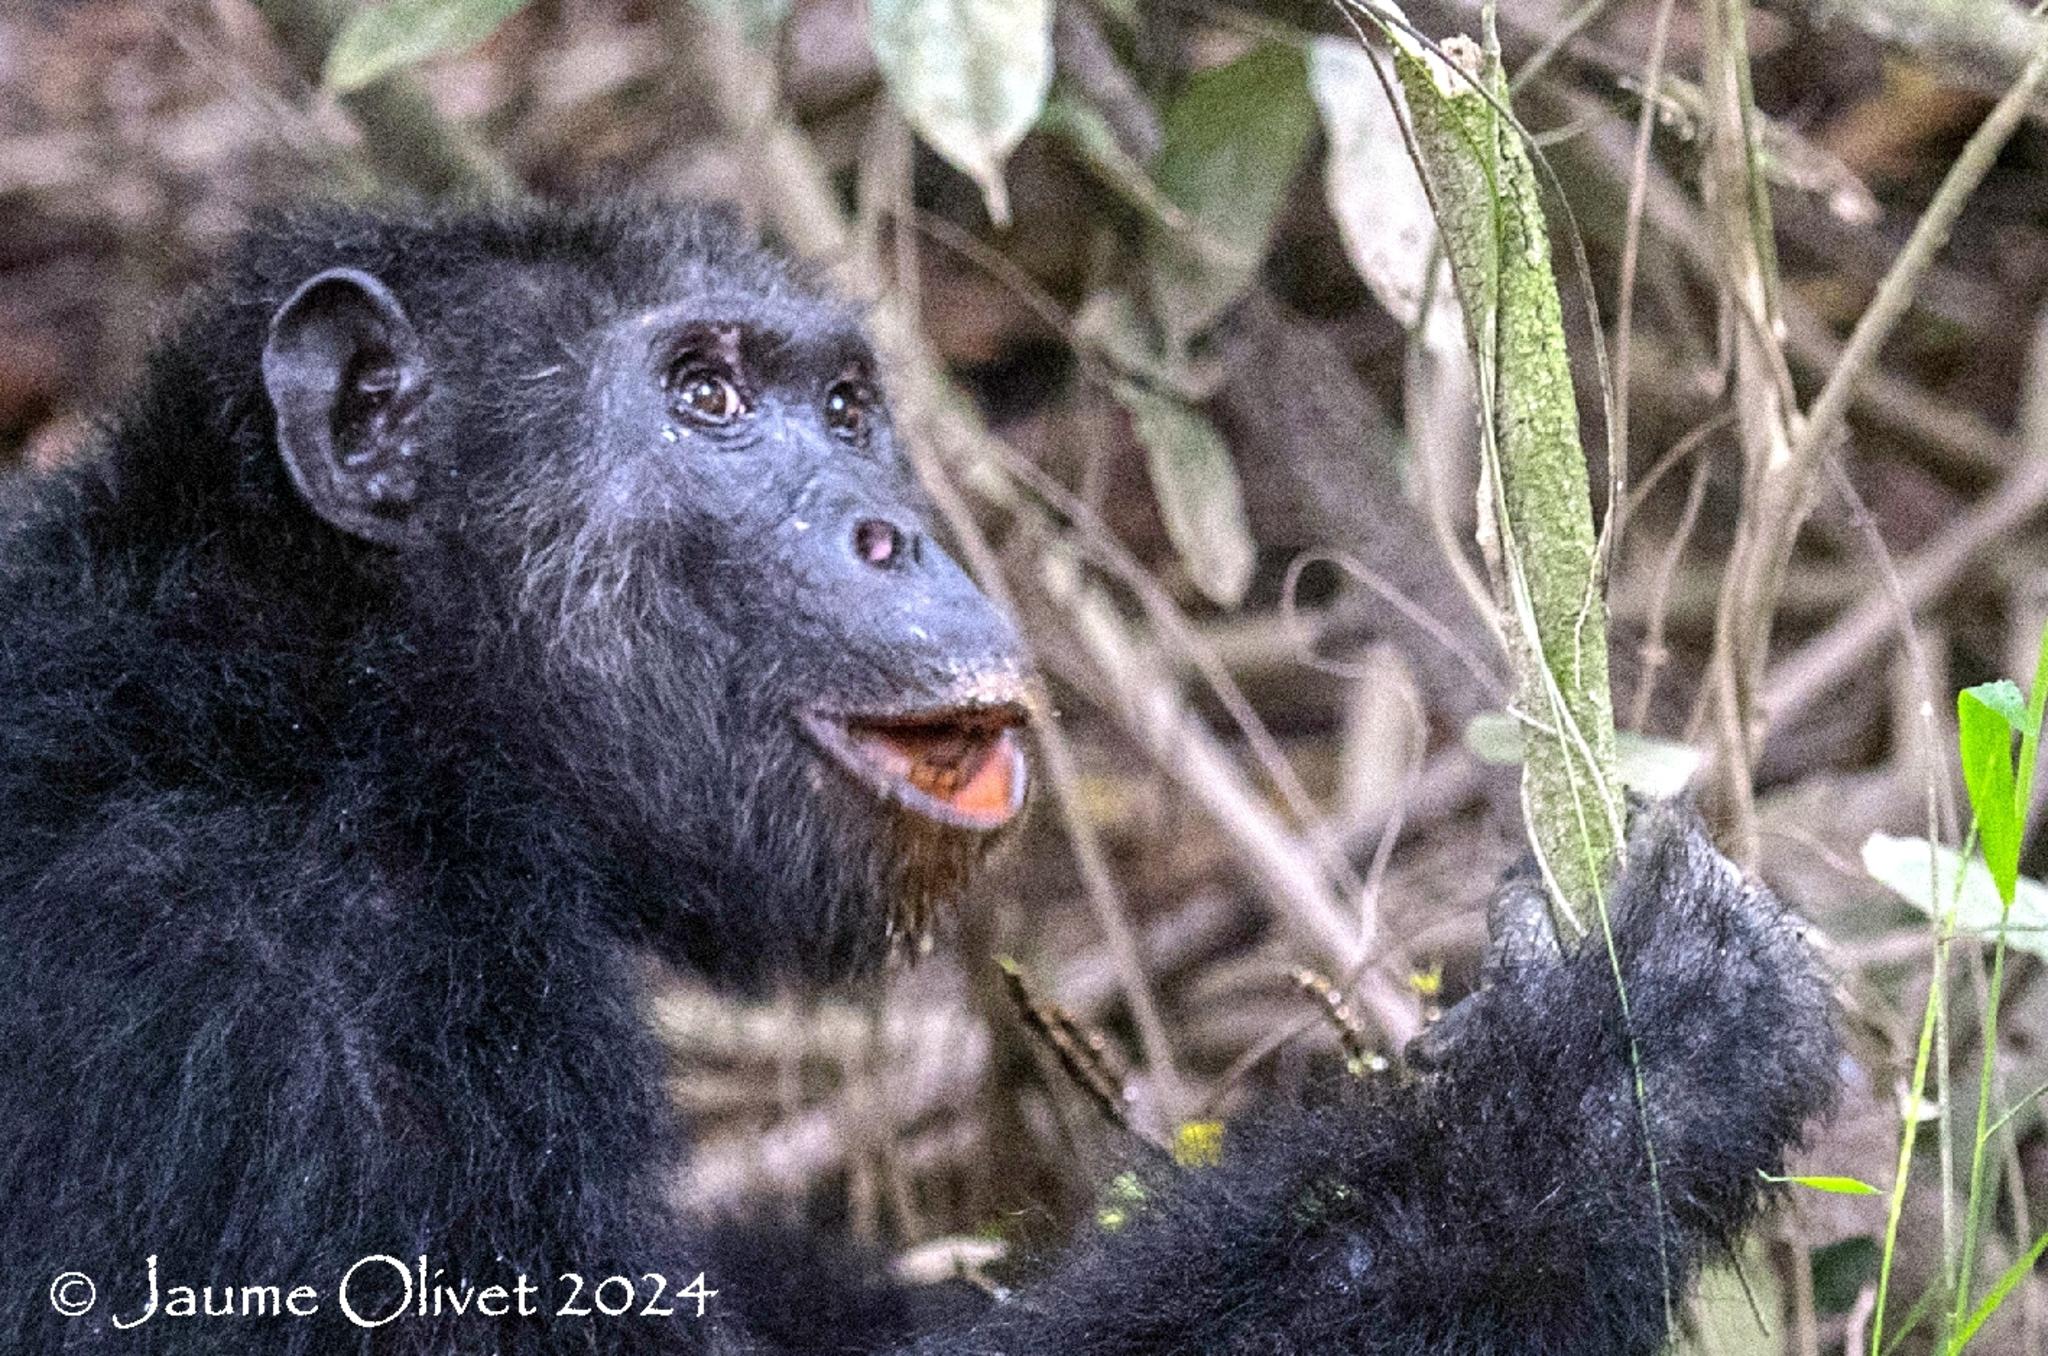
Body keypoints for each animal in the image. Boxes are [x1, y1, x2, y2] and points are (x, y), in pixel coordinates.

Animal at [0, 196, 1835, 1351]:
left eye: (841, 406)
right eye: (705, 395)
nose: (899, 528)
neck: (349, 698)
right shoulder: (294, 1007)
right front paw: (1625, 1062)